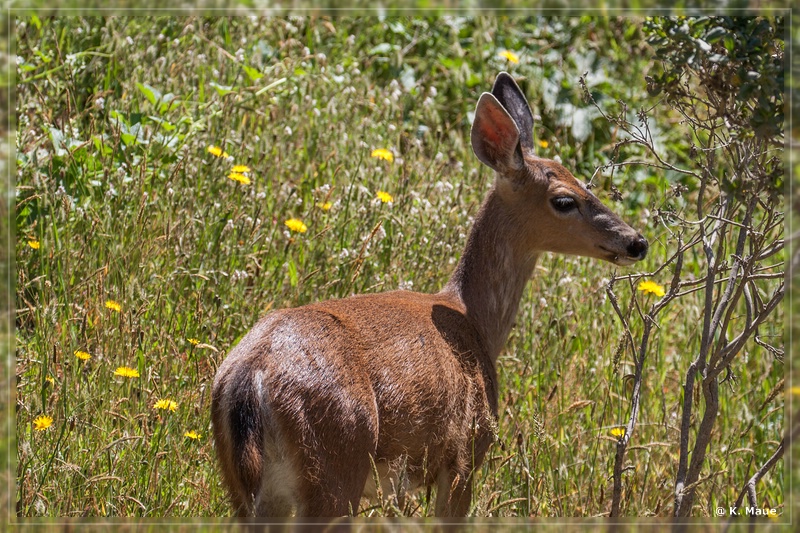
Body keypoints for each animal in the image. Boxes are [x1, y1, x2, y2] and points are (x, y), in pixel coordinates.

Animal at [212, 70, 648, 516]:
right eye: (564, 200)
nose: (637, 242)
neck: (474, 320)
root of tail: (250, 378)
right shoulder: (463, 455)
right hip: (336, 463)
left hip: (247, 487)